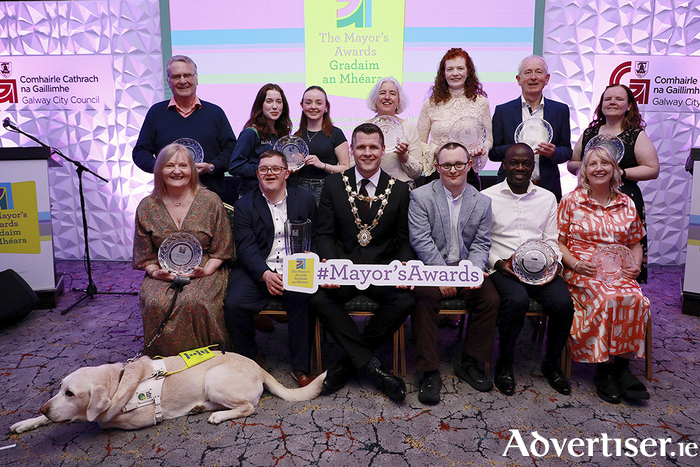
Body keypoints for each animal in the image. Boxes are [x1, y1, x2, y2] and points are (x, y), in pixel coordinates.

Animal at [10, 350, 326, 434]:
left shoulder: (133, 418)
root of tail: (259, 367)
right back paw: (200, 408)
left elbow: (96, 420)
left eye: (71, 394)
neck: (118, 380)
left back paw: (218, 416)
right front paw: (27, 422)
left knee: (248, 407)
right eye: (60, 389)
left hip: (214, 378)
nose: (42, 407)